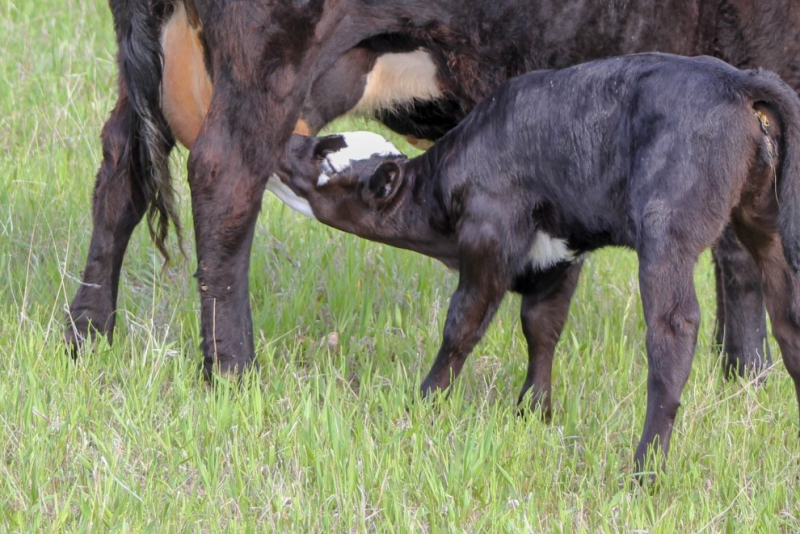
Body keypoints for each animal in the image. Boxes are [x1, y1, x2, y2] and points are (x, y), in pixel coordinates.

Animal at [65, 0, 800, 382]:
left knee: (120, 169)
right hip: (269, 53)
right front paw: (751, 373)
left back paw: (87, 335)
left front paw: (741, 371)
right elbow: (747, 246)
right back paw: (233, 370)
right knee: (225, 177)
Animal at [270, 53, 800, 475]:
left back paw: (645, 471)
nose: (282, 144)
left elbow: (463, 325)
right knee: (788, 316)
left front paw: (425, 402)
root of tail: (737, 79)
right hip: (765, 218)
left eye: (324, 160)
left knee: (674, 329)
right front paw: (534, 412)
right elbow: (541, 326)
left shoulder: (489, 239)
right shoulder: (558, 257)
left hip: (667, 227)